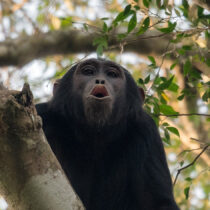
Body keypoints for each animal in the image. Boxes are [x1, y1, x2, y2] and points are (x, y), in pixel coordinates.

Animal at [35, 58, 179, 210]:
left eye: (112, 74)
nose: (100, 80)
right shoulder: (43, 115)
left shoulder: (147, 131)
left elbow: (158, 202)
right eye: (88, 72)